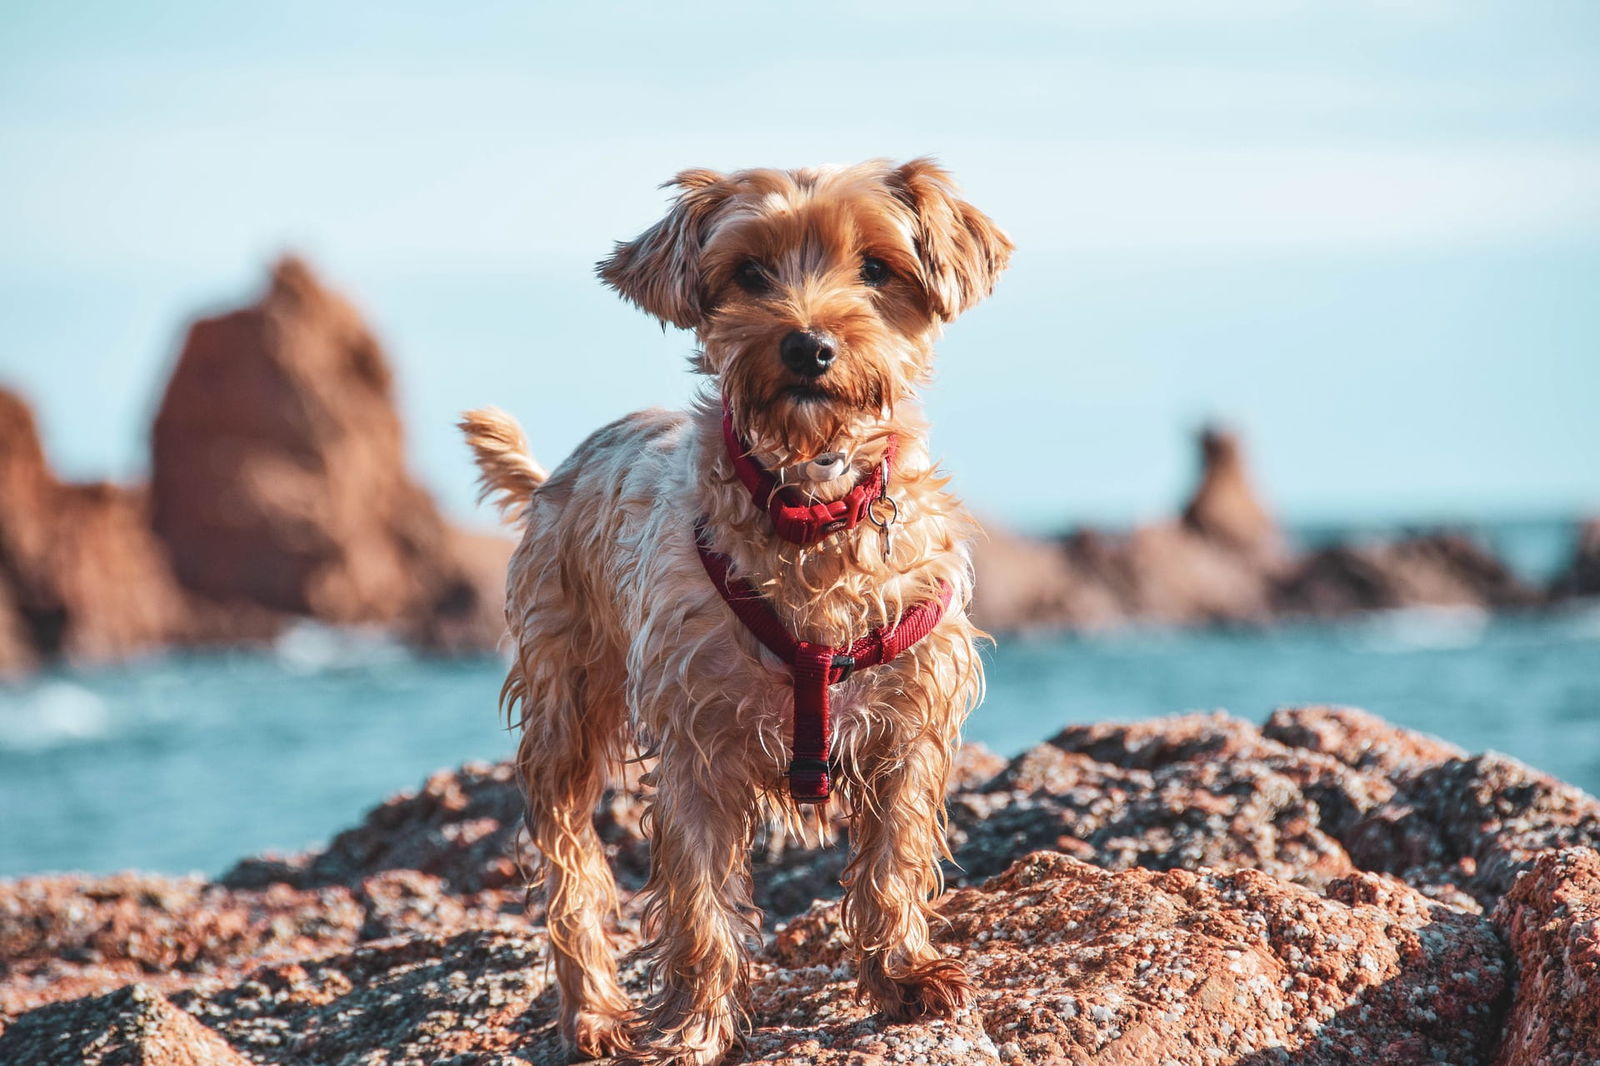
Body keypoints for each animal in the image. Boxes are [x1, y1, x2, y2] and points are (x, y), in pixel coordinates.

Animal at [464, 157, 1004, 1062]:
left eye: (878, 268)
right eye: (750, 272)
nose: (808, 343)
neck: (810, 506)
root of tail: (551, 479)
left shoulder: (908, 722)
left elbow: (893, 859)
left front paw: (904, 975)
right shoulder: (697, 747)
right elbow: (700, 906)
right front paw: (694, 1027)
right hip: (564, 698)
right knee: (572, 865)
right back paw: (596, 1015)